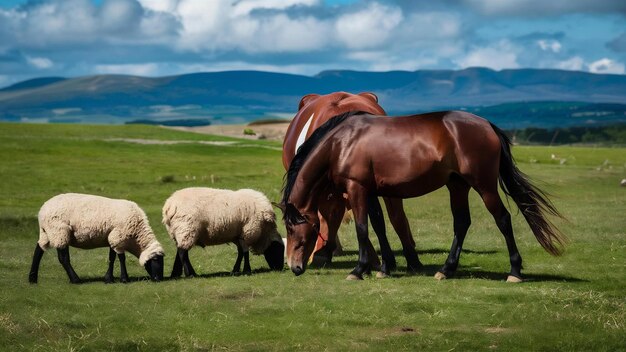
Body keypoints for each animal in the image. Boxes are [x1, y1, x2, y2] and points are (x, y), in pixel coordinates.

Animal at [28, 194, 165, 284]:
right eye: (156, 260)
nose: (158, 279)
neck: (136, 237)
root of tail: (42, 210)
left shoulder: (112, 237)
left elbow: (111, 258)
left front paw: (109, 278)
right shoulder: (118, 237)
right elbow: (121, 258)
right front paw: (124, 278)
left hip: (47, 232)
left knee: (39, 250)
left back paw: (32, 278)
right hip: (59, 231)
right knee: (63, 258)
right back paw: (75, 280)